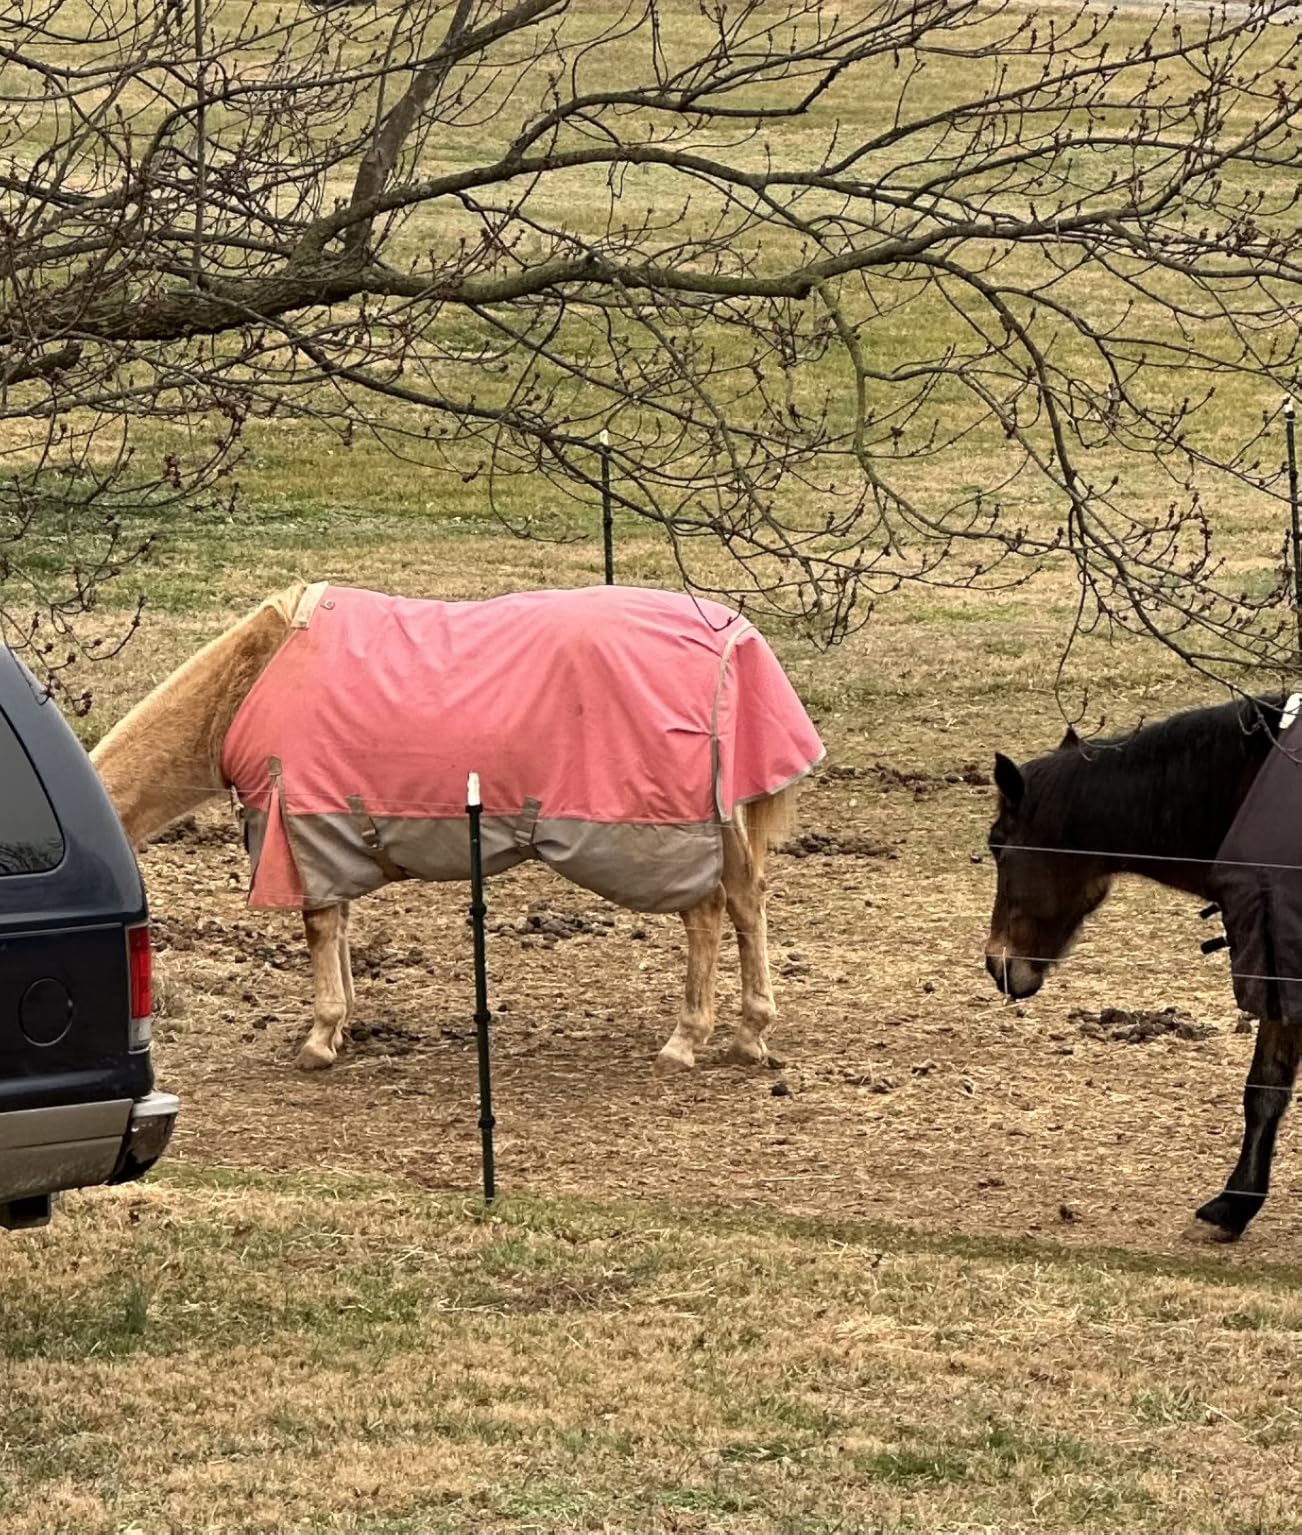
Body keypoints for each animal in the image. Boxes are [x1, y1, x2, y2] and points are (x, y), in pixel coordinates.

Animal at [91, 582, 824, 1076]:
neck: (249, 683)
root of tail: (735, 640)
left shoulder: (298, 832)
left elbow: (320, 927)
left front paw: (321, 1036)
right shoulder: (328, 835)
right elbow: (341, 927)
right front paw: (343, 1023)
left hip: (661, 835)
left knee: (704, 914)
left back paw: (685, 1039)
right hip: (716, 821)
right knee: (745, 902)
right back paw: (750, 1033)